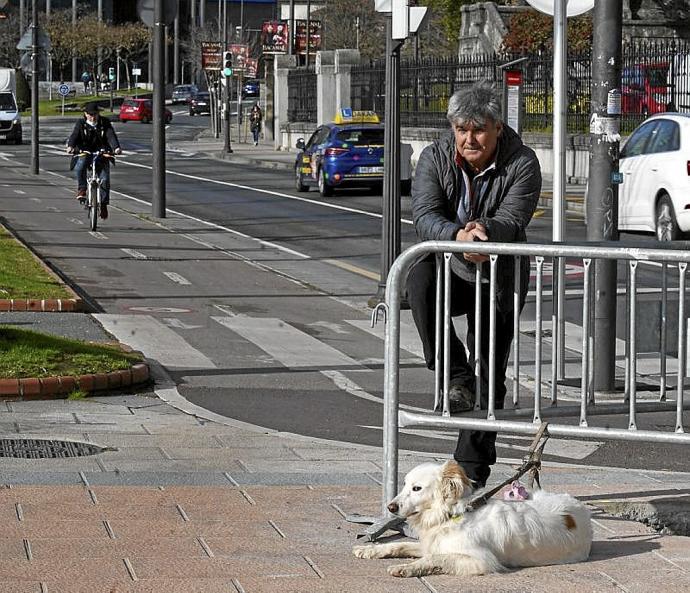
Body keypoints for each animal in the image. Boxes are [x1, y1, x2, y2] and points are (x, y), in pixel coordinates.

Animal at [352, 460, 588, 576]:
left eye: (416, 488)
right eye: (404, 485)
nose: (390, 507)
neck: (452, 515)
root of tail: (580, 509)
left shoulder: (481, 560)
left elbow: (435, 559)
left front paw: (407, 568)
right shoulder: (433, 544)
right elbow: (399, 545)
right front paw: (369, 549)